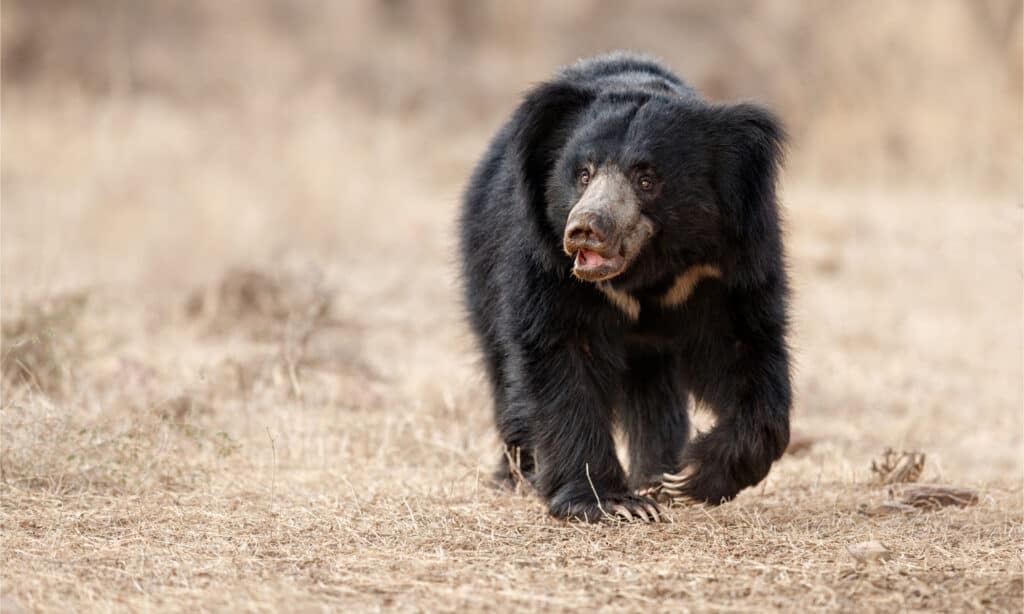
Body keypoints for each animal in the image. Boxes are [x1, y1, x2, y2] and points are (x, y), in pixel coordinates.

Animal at [458, 53, 790, 521]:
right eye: (582, 174)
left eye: (646, 179)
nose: (585, 229)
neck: (645, 273)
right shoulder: (546, 263)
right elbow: (560, 356)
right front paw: (612, 503)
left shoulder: (727, 264)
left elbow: (746, 349)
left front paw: (690, 476)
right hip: (482, 266)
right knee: (503, 370)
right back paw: (518, 474)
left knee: (655, 393)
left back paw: (656, 474)